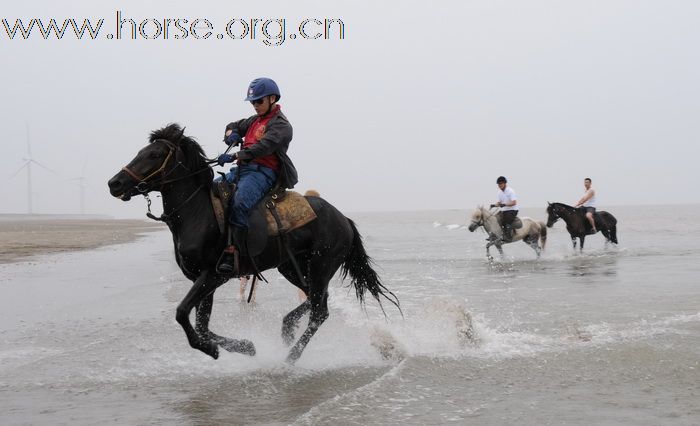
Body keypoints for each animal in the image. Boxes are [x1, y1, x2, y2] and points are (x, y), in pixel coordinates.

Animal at [105, 123, 400, 362]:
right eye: (142, 151)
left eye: (154, 155)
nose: (114, 183)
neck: (198, 212)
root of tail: (343, 219)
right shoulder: (201, 280)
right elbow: (201, 325)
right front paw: (245, 347)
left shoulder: (213, 275)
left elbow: (182, 314)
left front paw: (213, 350)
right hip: (293, 267)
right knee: (317, 299)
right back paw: (286, 328)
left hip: (321, 266)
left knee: (320, 311)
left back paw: (291, 357)